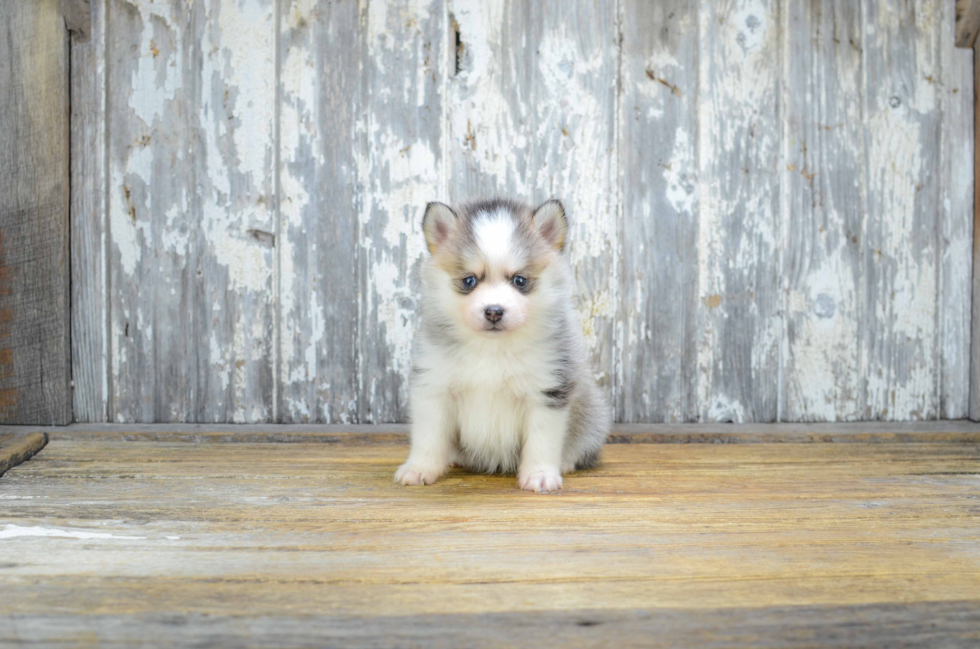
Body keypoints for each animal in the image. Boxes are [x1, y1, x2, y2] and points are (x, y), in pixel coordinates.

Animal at [394, 197, 608, 492]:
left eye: (520, 280)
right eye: (469, 280)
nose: (494, 311)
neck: (492, 349)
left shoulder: (547, 391)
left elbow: (541, 441)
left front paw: (540, 474)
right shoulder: (434, 387)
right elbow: (429, 437)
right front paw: (419, 468)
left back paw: (565, 462)